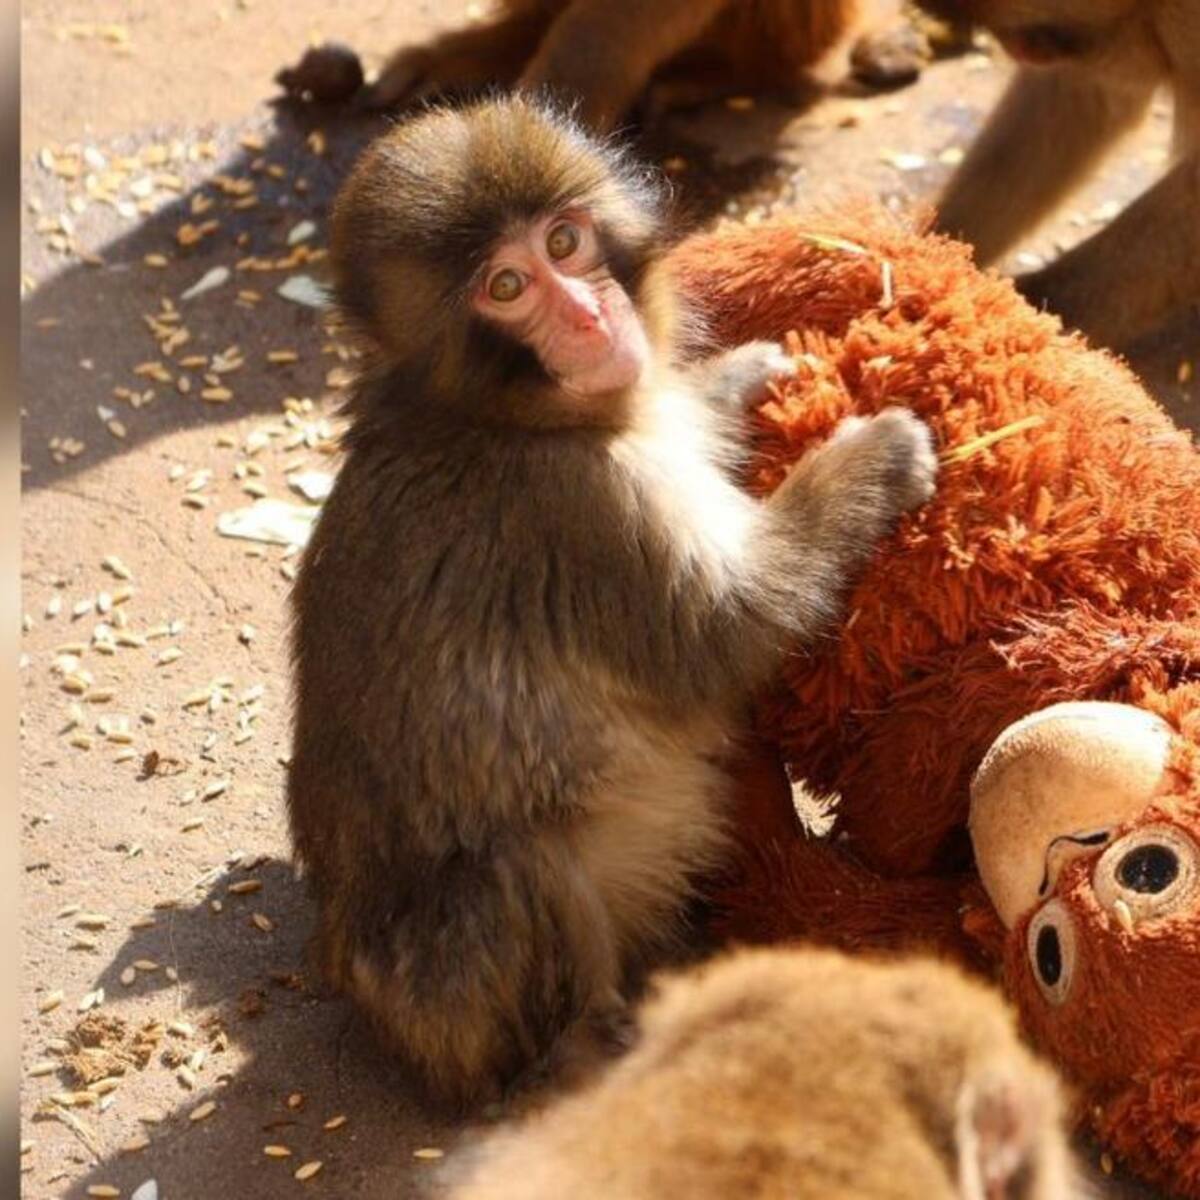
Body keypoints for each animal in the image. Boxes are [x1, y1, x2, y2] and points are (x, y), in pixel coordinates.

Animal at [287, 96, 938, 1111]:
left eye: (565, 241)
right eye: (507, 286)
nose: (591, 316)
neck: (499, 416)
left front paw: (736, 379)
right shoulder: (582, 509)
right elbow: (729, 631)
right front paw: (870, 461)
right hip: (455, 997)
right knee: (517, 870)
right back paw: (592, 1049)